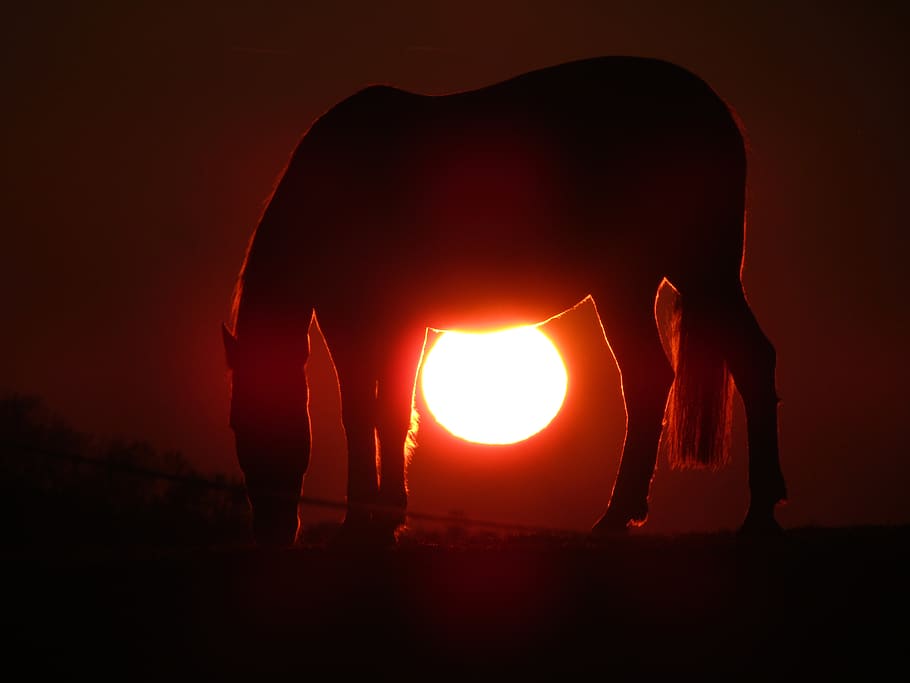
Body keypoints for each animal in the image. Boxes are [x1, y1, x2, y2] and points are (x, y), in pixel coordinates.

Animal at [221, 56, 787, 547]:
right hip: (646, 281)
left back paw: (738, 516)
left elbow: (385, 413)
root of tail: (709, 104)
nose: (271, 533)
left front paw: (376, 521)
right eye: (236, 425)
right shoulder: (360, 325)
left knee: (723, 365)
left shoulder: (390, 322)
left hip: (686, 273)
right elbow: (369, 411)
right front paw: (369, 521)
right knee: (684, 372)